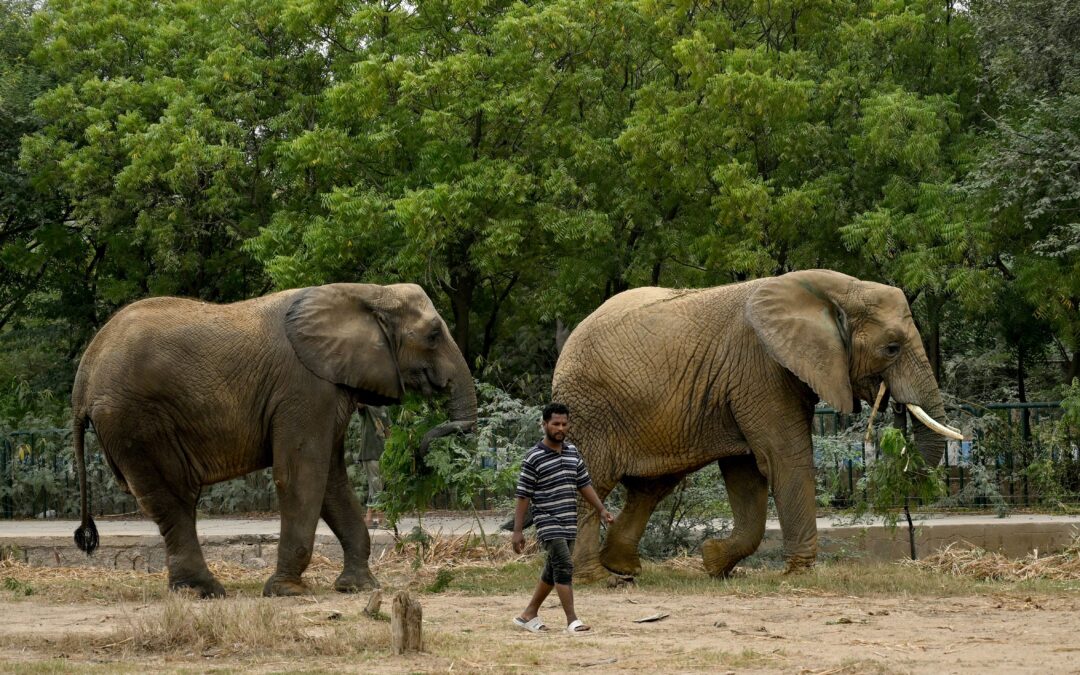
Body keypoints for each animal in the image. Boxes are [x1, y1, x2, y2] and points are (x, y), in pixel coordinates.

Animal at [71, 283, 477, 598]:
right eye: (434, 335)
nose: (420, 454)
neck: (367, 293)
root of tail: (84, 376)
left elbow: (331, 482)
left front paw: (359, 588)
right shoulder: (304, 389)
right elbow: (302, 475)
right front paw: (287, 591)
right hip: (136, 420)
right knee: (175, 497)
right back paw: (205, 592)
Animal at [551, 269, 962, 582]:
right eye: (892, 348)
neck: (837, 289)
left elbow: (746, 473)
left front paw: (713, 563)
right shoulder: (760, 368)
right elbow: (783, 460)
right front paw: (799, 575)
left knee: (651, 487)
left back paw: (624, 568)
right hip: (589, 410)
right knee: (594, 483)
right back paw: (596, 579)